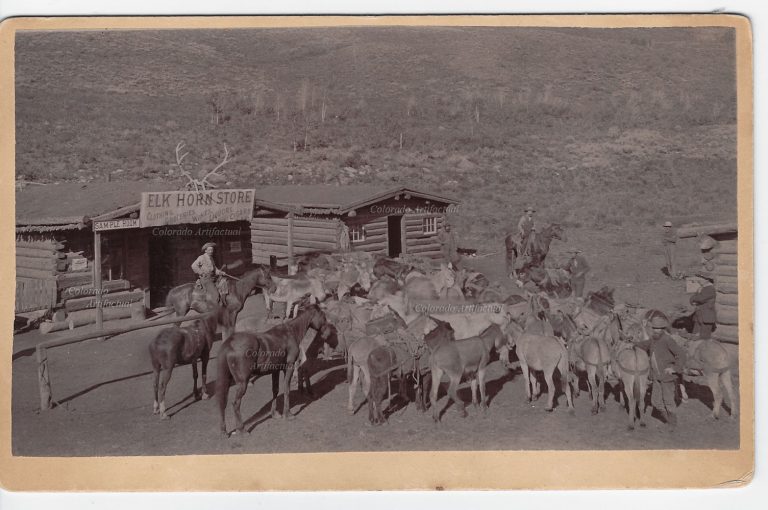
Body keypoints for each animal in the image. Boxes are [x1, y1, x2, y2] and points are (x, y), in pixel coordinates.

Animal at [214, 304, 332, 436]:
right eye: (323, 315)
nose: (327, 332)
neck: (290, 332)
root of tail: (229, 344)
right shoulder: (289, 367)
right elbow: (286, 389)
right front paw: (288, 414)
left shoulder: (275, 370)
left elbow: (275, 390)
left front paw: (275, 414)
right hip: (242, 382)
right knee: (236, 403)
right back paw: (242, 429)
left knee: (222, 402)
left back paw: (224, 431)